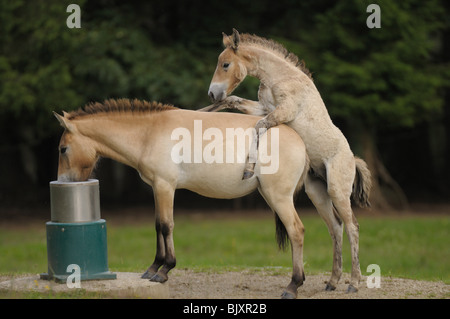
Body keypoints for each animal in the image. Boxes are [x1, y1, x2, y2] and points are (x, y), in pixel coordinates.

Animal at [53, 98, 310, 300]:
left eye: (63, 149)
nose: (63, 181)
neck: (148, 133)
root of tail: (300, 141)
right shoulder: (157, 188)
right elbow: (158, 225)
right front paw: (153, 268)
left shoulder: (165, 186)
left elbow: (167, 226)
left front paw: (164, 270)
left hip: (278, 197)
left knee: (296, 231)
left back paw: (293, 285)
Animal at [202, 30, 370, 296]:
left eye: (225, 64)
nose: (212, 93)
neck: (282, 77)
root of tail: (352, 160)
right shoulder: (263, 108)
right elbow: (234, 101)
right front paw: (206, 109)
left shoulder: (280, 112)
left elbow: (258, 126)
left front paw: (248, 169)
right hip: (318, 193)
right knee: (335, 227)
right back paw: (332, 282)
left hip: (337, 191)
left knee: (352, 226)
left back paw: (353, 283)